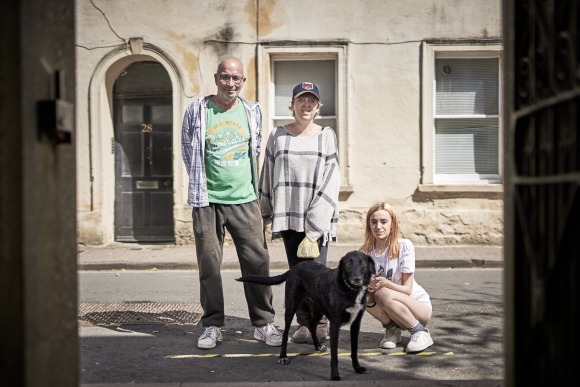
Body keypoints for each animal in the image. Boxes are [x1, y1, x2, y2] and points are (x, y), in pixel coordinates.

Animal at [236, 252, 376, 382]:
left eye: (363, 263)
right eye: (348, 264)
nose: (357, 279)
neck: (350, 289)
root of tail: (295, 267)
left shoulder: (356, 323)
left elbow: (354, 350)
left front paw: (358, 368)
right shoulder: (335, 325)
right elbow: (334, 356)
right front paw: (335, 375)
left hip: (318, 310)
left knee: (312, 326)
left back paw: (318, 346)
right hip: (291, 307)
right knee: (286, 334)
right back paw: (283, 357)